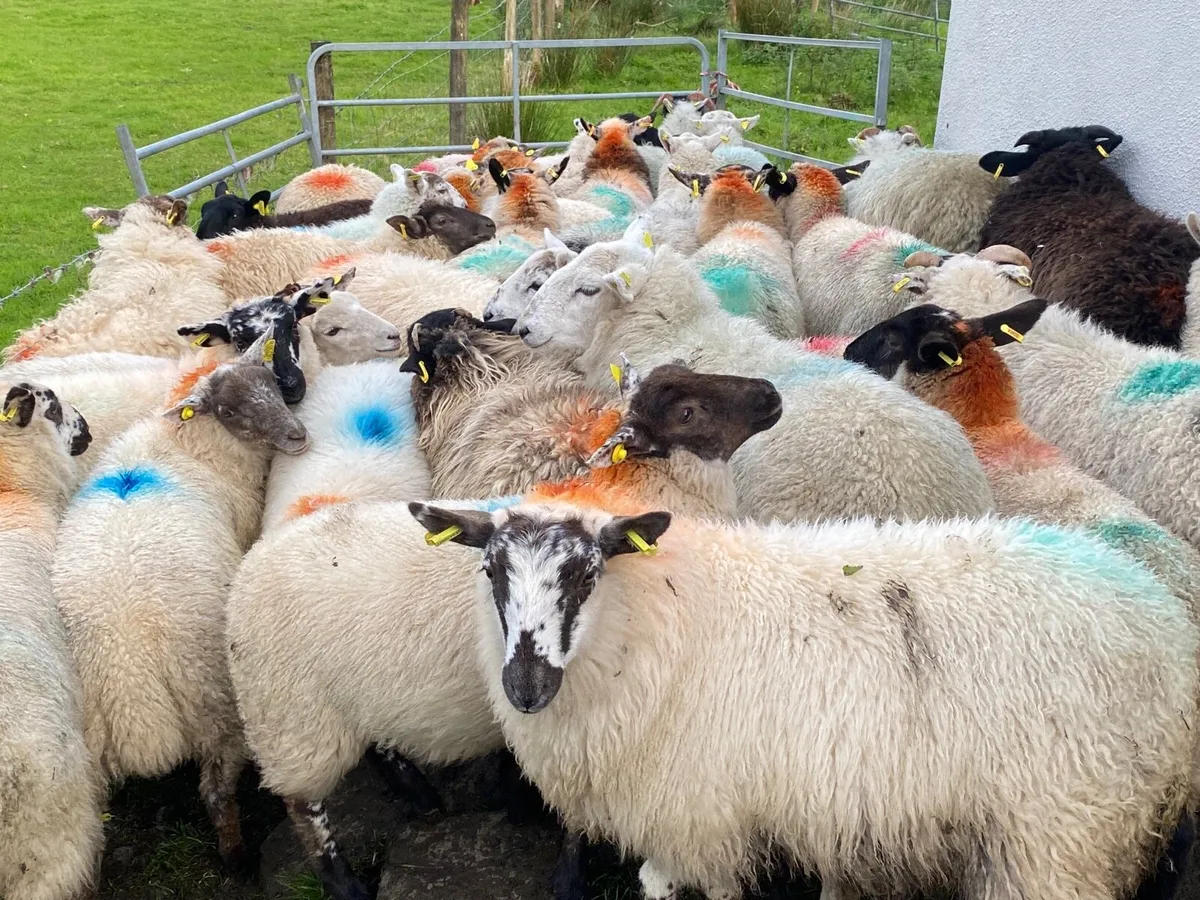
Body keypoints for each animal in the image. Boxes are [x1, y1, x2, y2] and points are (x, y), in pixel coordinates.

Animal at [52, 329, 309, 872]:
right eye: (229, 411)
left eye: (272, 386)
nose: (298, 436)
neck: (184, 443)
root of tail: (131, 684)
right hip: (213, 705)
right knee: (216, 791)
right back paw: (236, 857)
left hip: (91, 745)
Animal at [226, 362, 779, 900]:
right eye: (689, 412)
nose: (771, 394)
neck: (635, 491)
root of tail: (250, 567)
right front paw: (568, 873)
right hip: (293, 721)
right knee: (304, 811)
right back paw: (347, 884)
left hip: (347, 700)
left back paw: (419, 793)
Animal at [409, 498, 1198, 900]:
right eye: (490, 570)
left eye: (583, 575)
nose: (524, 688)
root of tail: (1165, 626)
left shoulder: (700, 811)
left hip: (1062, 831)